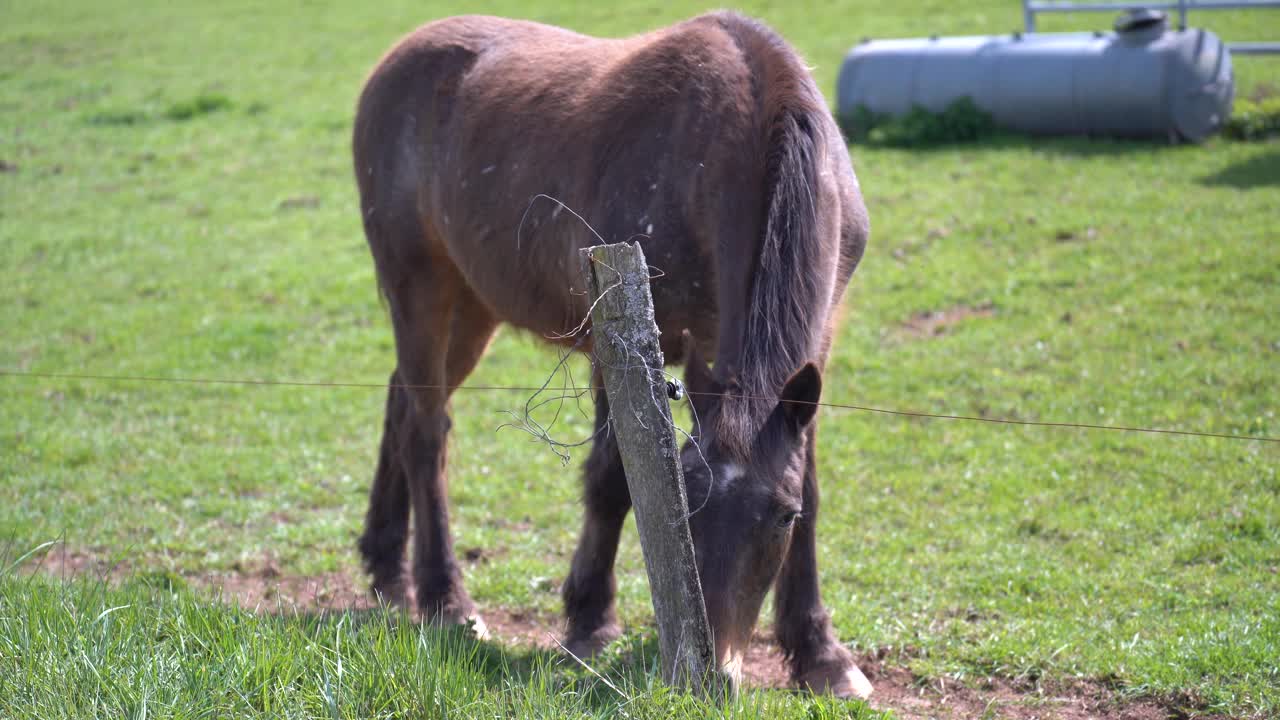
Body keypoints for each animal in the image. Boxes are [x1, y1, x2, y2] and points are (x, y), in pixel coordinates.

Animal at [350, 9, 870, 696]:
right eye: (687, 505)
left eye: (779, 517)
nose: (714, 673)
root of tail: (396, 58)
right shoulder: (614, 340)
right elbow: (609, 477)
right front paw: (589, 621)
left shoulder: (814, 348)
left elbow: (808, 483)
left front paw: (822, 656)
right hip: (420, 289)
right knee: (426, 433)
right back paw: (446, 600)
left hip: (472, 307)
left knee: (402, 404)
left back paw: (386, 567)